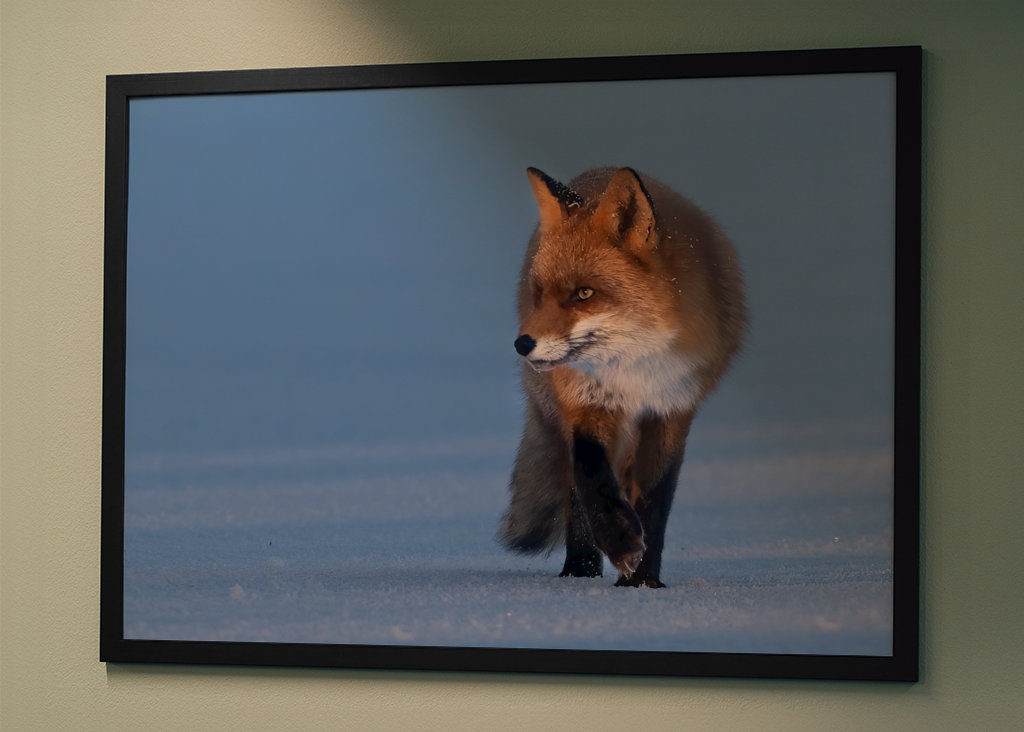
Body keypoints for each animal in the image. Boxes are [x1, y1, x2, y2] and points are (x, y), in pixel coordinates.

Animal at [499, 166, 746, 588]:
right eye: (539, 293)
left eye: (584, 294)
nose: (522, 344)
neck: (634, 372)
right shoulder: (587, 403)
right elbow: (591, 478)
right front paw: (619, 544)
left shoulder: (671, 409)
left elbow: (655, 498)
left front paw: (642, 582)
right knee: (576, 486)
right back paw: (579, 571)